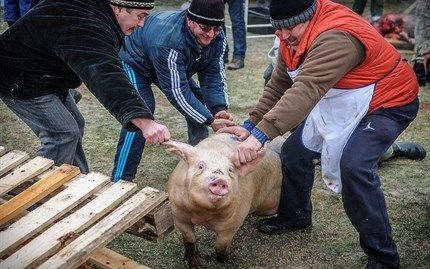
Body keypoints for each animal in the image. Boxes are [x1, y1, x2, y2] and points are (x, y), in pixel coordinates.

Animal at [165, 133, 282, 266]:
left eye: (230, 170)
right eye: (200, 166)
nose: (220, 180)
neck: (202, 215)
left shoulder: (233, 223)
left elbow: (220, 246)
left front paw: (231, 260)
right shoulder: (178, 216)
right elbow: (189, 241)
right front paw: (195, 264)